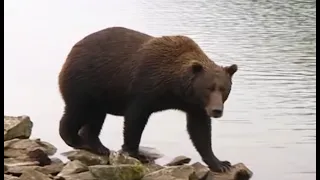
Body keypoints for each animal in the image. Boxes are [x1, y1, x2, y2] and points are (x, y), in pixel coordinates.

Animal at [58, 27, 238, 173]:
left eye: (224, 89)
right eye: (208, 88)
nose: (216, 110)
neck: (175, 88)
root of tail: (72, 50)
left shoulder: (195, 105)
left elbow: (200, 131)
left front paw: (221, 163)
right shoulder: (145, 87)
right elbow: (135, 119)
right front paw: (135, 153)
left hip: (100, 93)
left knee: (95, 117)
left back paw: (99, 147)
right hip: (86, 81)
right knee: (78, 110)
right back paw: (75, 139)